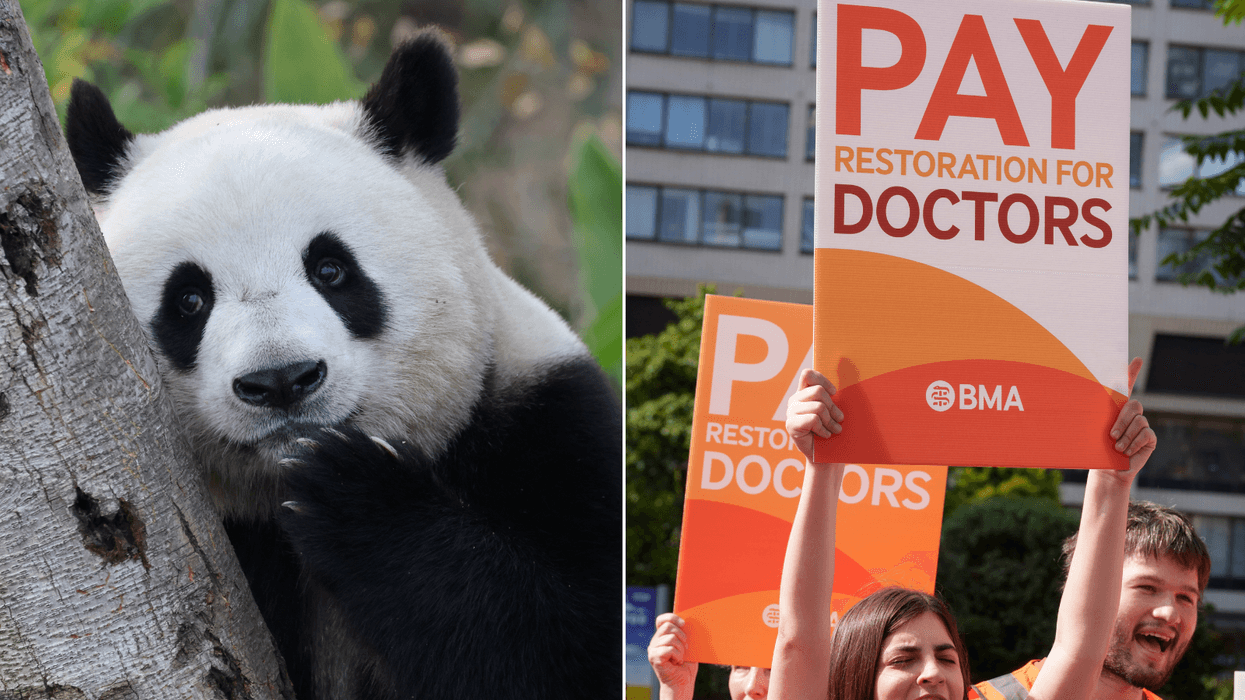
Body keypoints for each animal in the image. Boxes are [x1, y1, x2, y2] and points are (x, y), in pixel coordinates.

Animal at [64, 32, 621, 700]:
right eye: (189, 300)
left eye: (331, 269)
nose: (281, 380)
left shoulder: (551, 425)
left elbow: (568, 640)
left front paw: (354, 498)